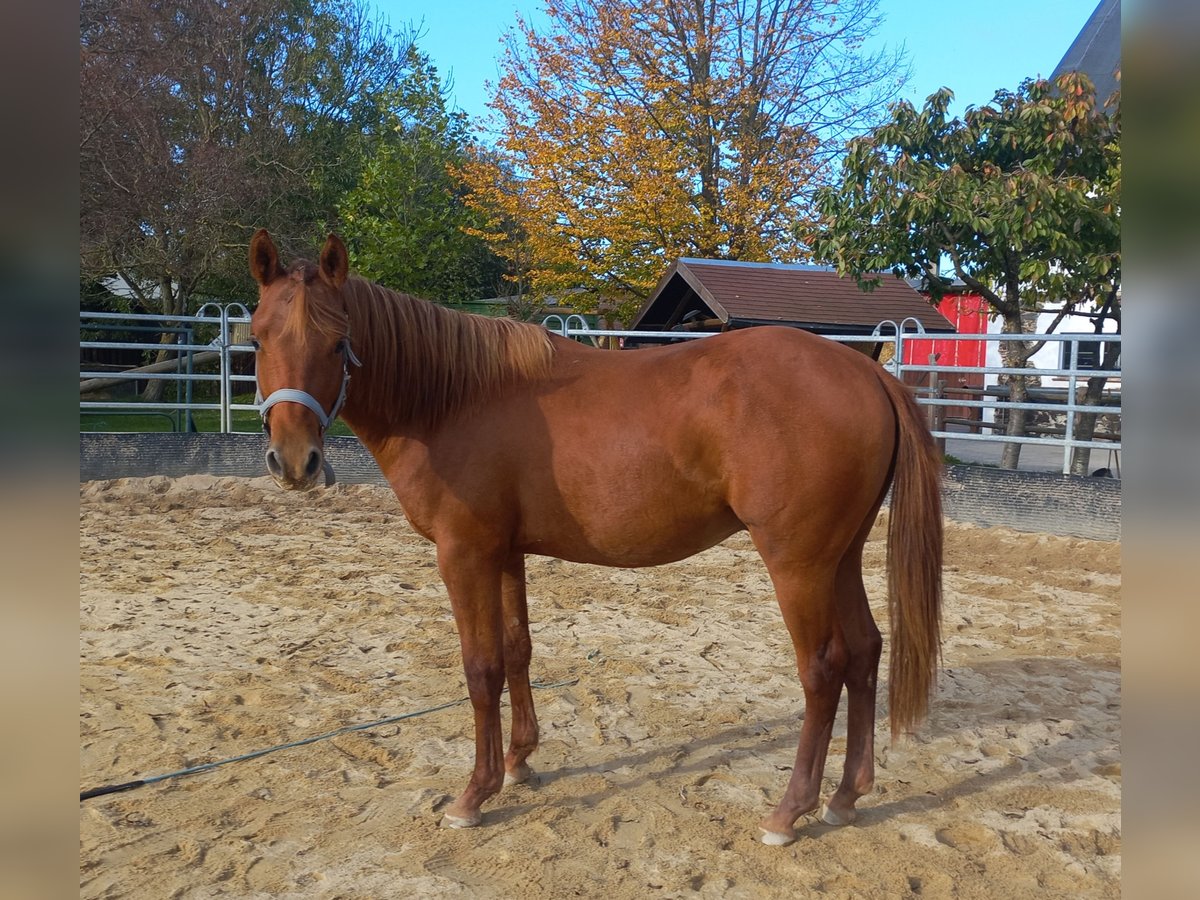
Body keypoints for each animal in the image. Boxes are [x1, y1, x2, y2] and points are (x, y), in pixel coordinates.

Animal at [248, 230, 940, 844]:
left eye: (339, 343)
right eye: (255, 336)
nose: (294, 461)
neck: (455, 398)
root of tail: (866, 372)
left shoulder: (464, 555)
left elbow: (480, 668)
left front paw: (474, 794)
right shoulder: (505, 555)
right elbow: (516, 652)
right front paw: (519, 762)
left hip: (798, 564)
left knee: (822, 671)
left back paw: (789, 811)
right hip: (840, 557)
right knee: (865, 652)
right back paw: (846, 796)